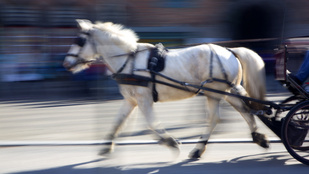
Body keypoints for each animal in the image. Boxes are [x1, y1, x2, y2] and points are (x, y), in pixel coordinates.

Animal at [63, 19, 268, 159]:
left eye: (80, 41)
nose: (66, 63)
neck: (129, 60)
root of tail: (230, 51)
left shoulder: (144, 99)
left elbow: (151, 123)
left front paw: (171, 142)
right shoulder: (130, 100)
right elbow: (117, 122)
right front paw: (106, 147)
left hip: (218, 92)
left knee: (224, 116)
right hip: (221, 93)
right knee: (235, 113)